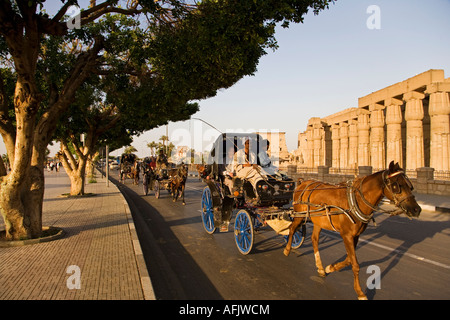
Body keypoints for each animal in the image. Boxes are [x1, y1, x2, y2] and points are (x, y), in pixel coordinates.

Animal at [284, 162, 422, 300]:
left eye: (409, 185)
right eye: (396, 186)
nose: (416, 209)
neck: (356, 200)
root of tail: (302, 182)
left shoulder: (355, 235)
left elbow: (350, 259)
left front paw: (331, 268)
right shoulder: (346, 235)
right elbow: (355, 264)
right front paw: (360, 292)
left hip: (318, 220)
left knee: (314, 239)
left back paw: (320, 267)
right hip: (299, 214)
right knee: (292, 228)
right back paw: (287, 249)